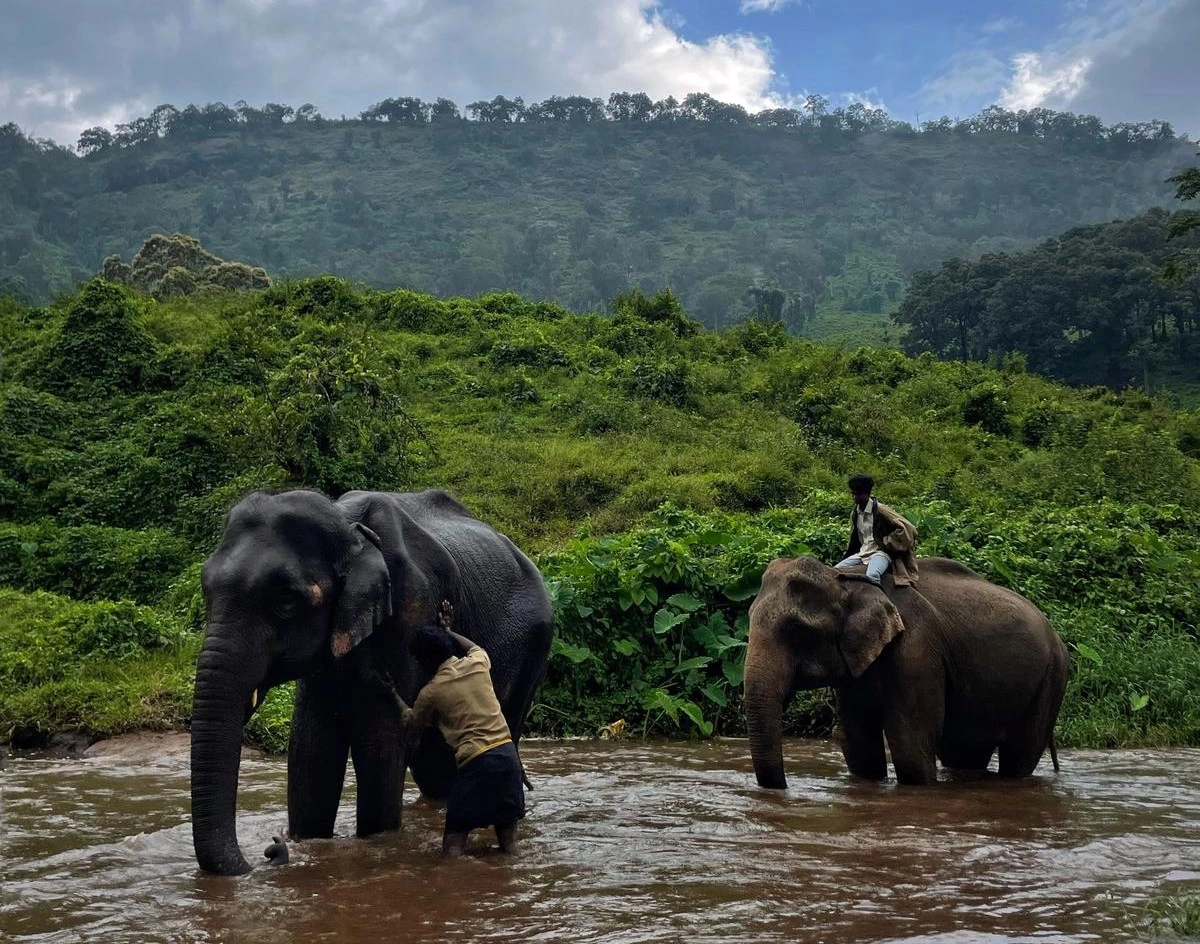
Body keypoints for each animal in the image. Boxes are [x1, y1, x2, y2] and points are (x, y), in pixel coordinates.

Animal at [191, 488, 554, 874]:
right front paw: (309, 842)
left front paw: (376, 844)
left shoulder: (412, 606)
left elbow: (382, 738)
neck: (348, 526)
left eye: (286, 601)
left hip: (535, 647)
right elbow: (311, 746)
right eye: (206, 590)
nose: (273, 847)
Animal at [744, 555, 1070, 788]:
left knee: (1020, 753)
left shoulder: (917, 647)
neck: (845, 581)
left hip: (1052, 678)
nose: (785, 787)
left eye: (797, 630)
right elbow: (860, 741)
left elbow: (910, 743)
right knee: (965, 751)